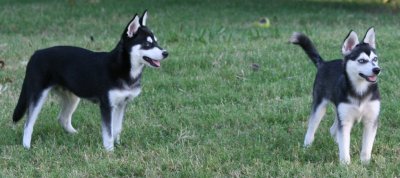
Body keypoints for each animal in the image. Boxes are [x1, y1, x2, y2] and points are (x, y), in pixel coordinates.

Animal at [11, 10, 167, 151]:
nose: (166, 53)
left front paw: (118, 145)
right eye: (147, 44)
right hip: (38, 95)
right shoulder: (107, 106)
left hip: (72, 98)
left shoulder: (122, 104)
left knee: (63, 118)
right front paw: (109, 151)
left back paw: (75, 134)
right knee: (28, 124)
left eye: (156, 42)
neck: (124, 67)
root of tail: (35, 54)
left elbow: (117, 128)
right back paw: (26, 146)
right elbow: (108, 132)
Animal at [290, 27, 382, 164]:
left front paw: (365, 163)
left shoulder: (371, 121)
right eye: (362, 61)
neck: (360, 91)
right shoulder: (345, 121)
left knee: (333, 130)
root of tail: (324, 63)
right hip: (320, 107)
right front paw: (345, 163)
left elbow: (367, 147)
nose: (377, 70)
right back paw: (307, 145)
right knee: (312, 126)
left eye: (375, 59)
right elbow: (345, 143)